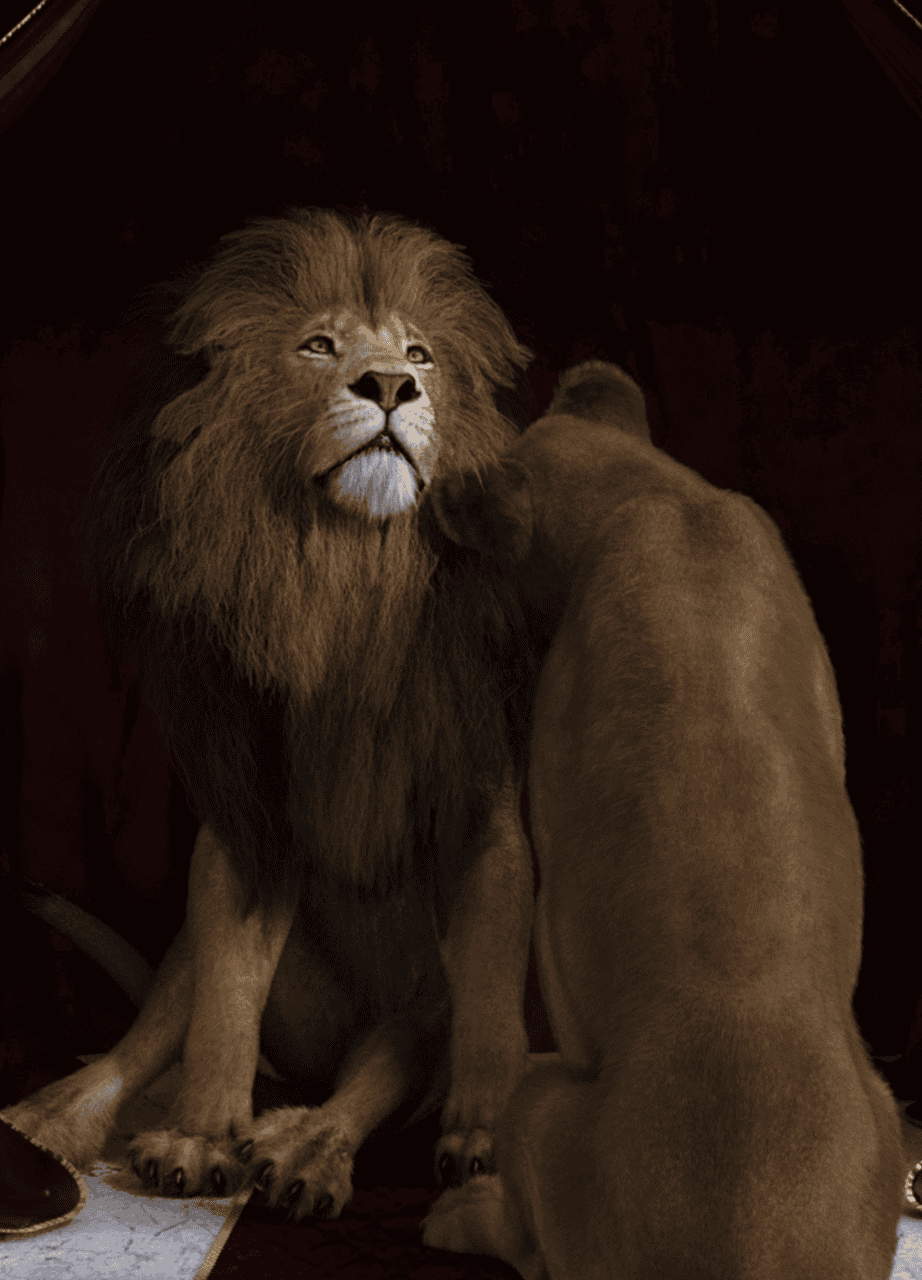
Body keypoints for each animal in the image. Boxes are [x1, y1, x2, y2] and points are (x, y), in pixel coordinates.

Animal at [2, 208, 540, 1222]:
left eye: (421, 353)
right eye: (319, 346)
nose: (392, 386)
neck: (348, 582)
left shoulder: (480, 804)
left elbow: (491, 1001)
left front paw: (490, 1143)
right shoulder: (245, 814)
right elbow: (225, 996)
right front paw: (201, 1138)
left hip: (412, 1007)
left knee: (381, 1063)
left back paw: (305, 1149)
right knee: (159, 1028)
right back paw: (55, 1123)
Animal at [421, 361, 905, 1277]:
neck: (650, 498)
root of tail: (744, 1252)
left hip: (538, 1100)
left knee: (521, 1234)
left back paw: (457, 1214)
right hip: (888, 1117)